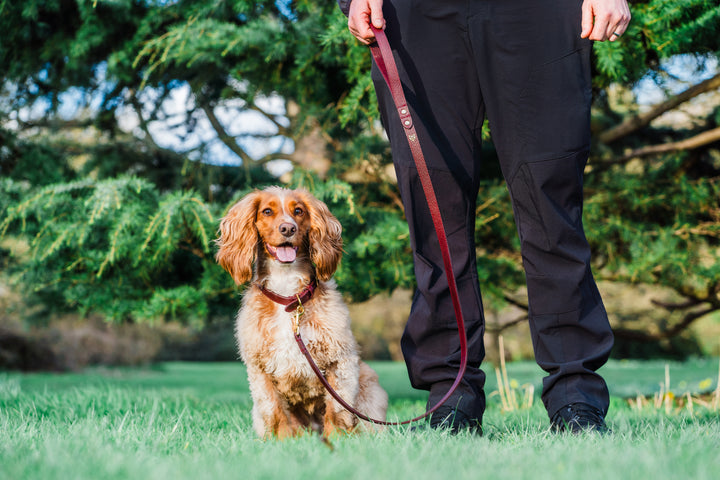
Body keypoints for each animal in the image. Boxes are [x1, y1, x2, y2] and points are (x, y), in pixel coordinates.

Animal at [215, 187, 388, 438]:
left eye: (298, 211)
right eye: (267, 211)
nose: (288, 228)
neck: (287, 292)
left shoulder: (340, 360)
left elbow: (336, 410)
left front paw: (337, 439)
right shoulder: (259, 369)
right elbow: (275, 411)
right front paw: (282, 441)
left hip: (370, 390)